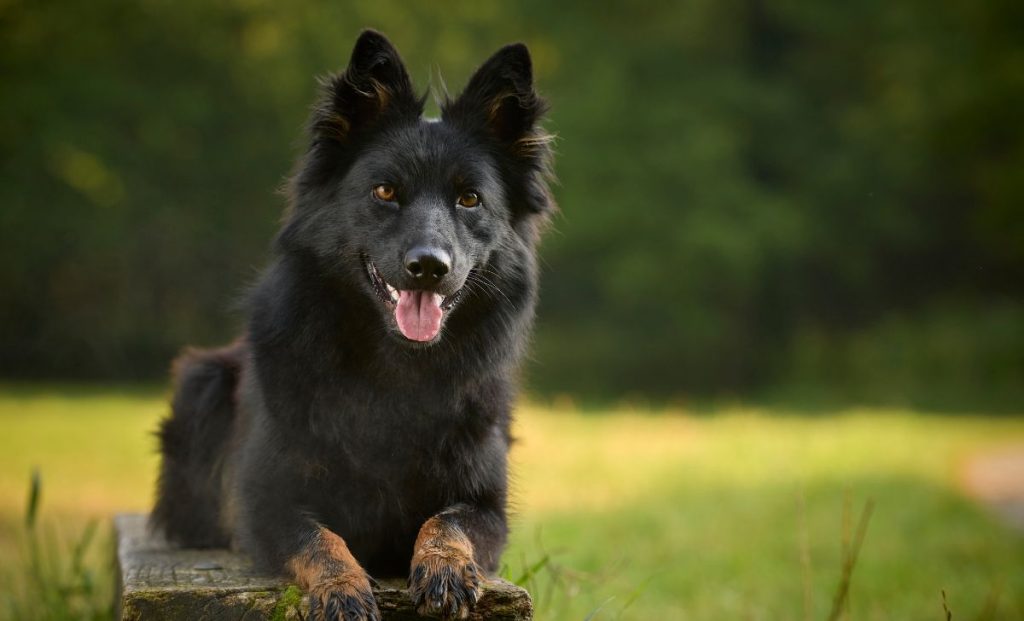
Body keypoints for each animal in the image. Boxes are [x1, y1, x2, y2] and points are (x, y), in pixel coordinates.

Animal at [149, 30, 552, 621]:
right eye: (385, 192)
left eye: (469, 198)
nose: (429, 267)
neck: (395, 371)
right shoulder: (264, 505)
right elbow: (320, 538)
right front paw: (340, 586)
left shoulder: (488, 507)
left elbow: (449, 521)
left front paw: (445, 568)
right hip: (203, 382)